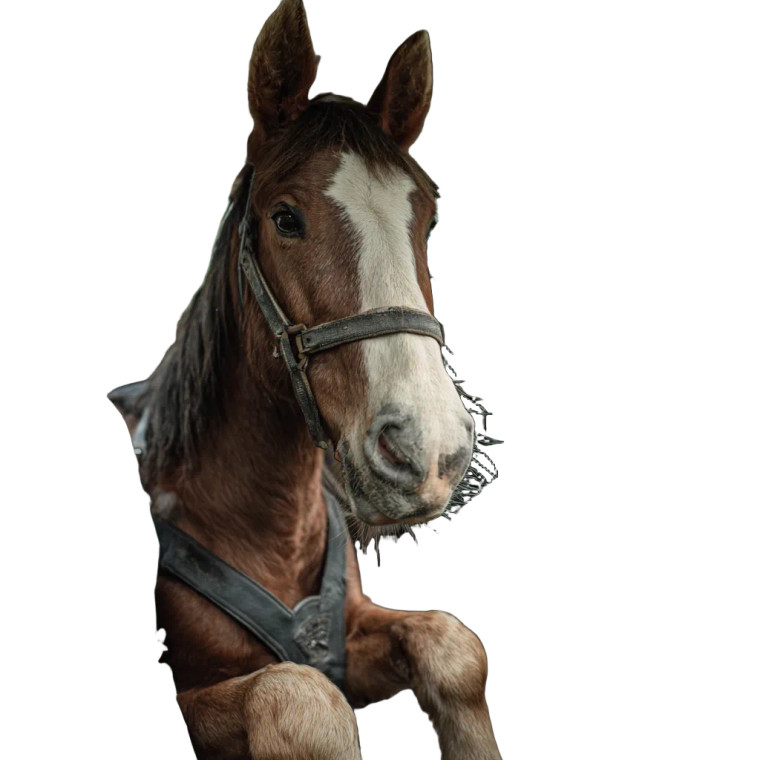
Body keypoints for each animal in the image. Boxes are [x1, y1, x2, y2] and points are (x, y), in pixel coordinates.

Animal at [109, 1, 502, 758]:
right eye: (285, 218)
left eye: (430, 217)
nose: (429, 451)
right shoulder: (192, 692)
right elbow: (300, 699)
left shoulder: (351, 636)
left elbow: (453, 647)